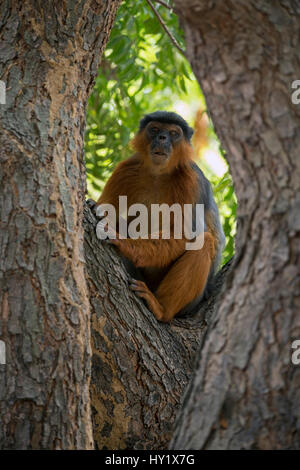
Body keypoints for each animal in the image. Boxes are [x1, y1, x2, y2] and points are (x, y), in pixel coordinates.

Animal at [88, 111, 226, 324]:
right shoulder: (127, 168)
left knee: (204, 241)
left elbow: (187, 234)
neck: (158, 175)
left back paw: (162, 309)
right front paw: (98, 208)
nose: (162, 138)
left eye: (173, 133)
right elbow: (106, 206)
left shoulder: (190, 180)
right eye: (154, 129)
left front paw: (122, 241)